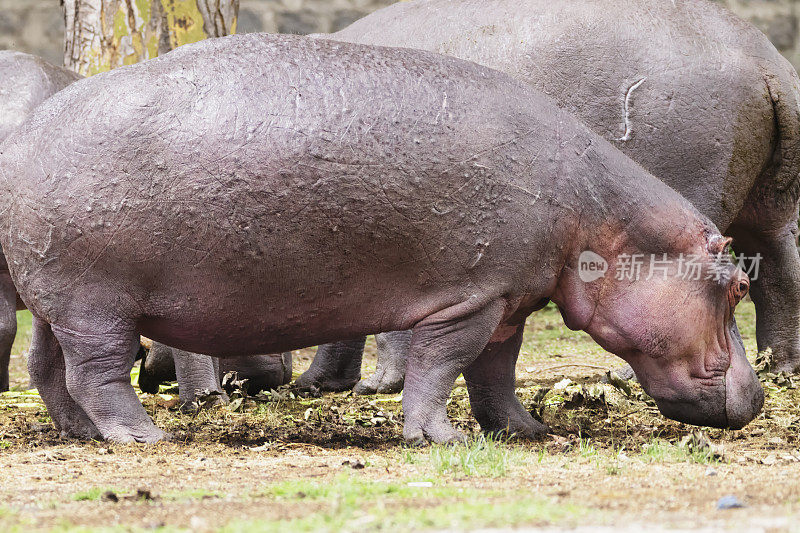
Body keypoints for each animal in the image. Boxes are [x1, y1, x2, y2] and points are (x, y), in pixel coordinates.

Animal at [0, 31, 764, 442]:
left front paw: (524, 431)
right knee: (97, 373)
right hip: (97, 302)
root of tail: (20, 140)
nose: (756, 398)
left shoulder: (508, 300)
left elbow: (496, 372)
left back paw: (78, 432)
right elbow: (441, 367)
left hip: (58, 299)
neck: (603, 217)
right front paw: (440, 437)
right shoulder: (470, 298)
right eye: (737, 285)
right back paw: (142, 434)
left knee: (48, 368)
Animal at [298, 0, 800, 394]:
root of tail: (769, 62)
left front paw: (372, 385)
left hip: (685, 200)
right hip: (768, 206)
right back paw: (780, 369)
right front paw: (319, 384)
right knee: (780, 273)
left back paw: (626, 377)